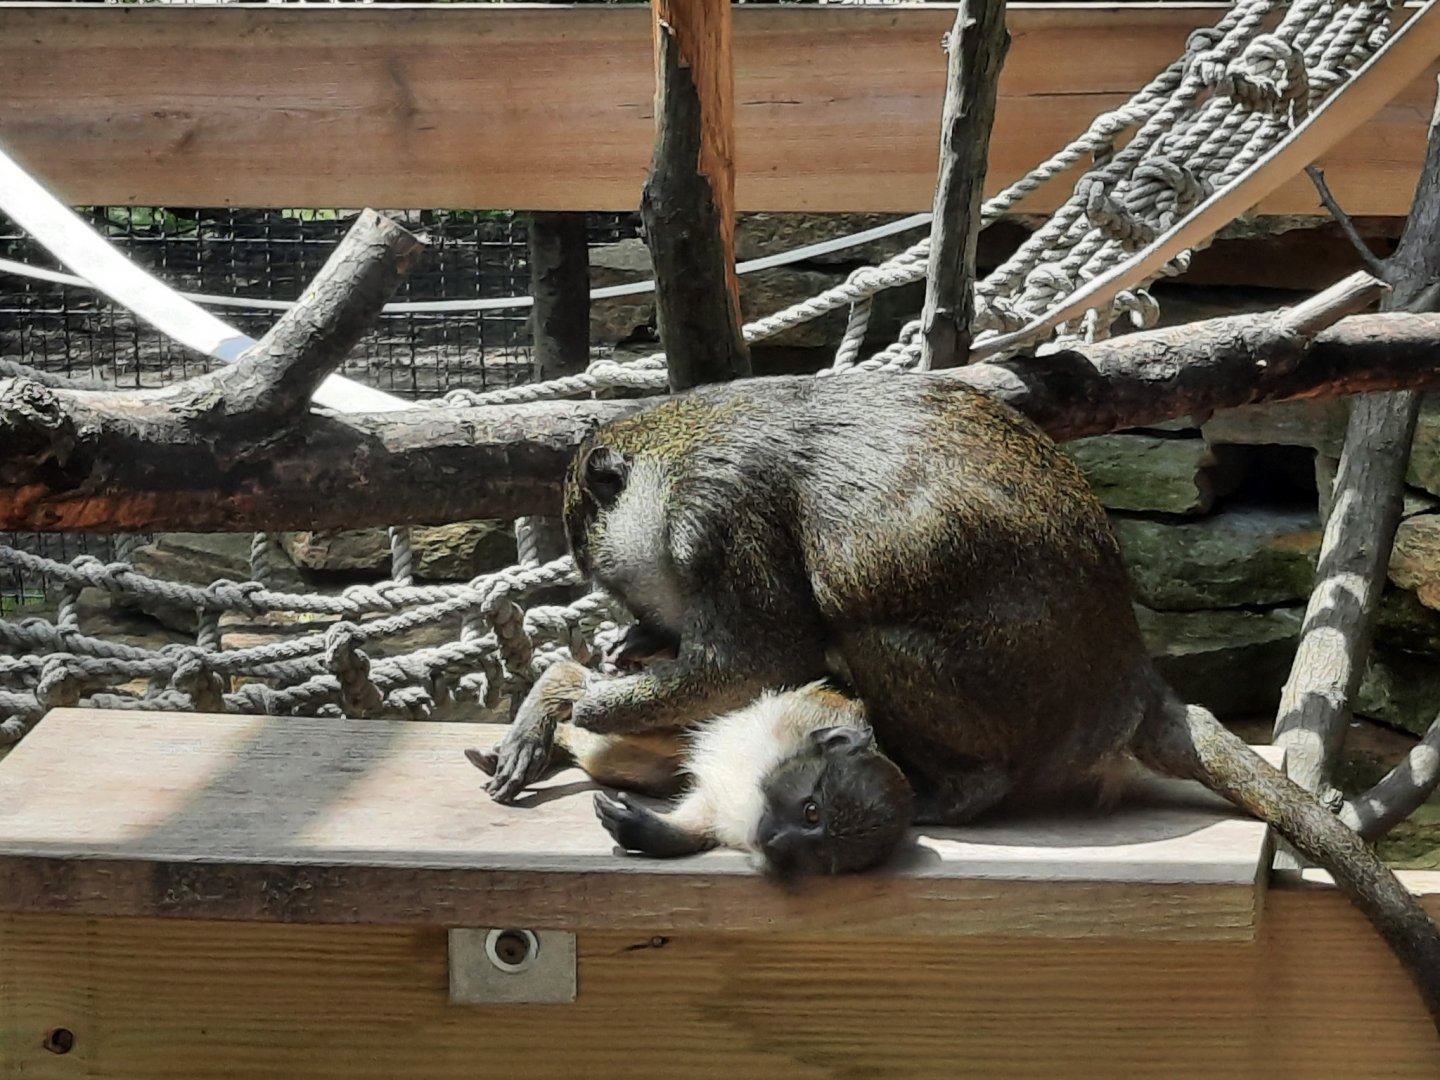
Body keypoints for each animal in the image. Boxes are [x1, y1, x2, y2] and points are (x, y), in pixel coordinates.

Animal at [467, 659, 914, 880]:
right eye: (811, 812)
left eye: (819, 853)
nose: (778, 841)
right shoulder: (791, 719)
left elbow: (703, 812)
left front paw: (650, 833)